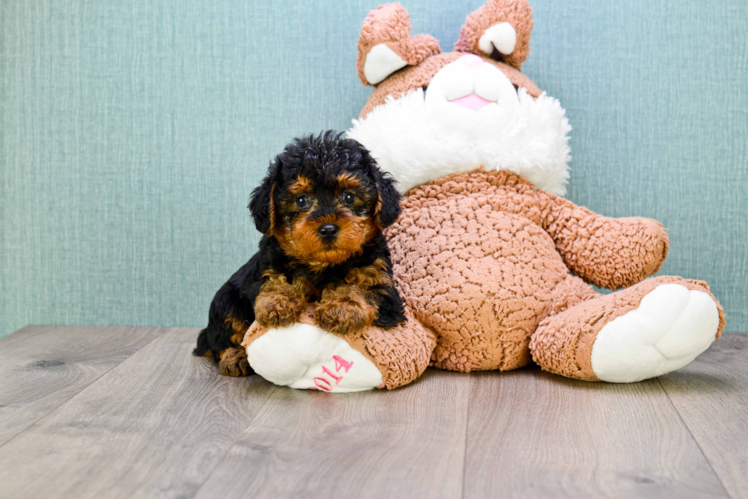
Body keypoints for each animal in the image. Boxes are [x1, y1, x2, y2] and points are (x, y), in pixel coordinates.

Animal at [191, 131, 404, 376]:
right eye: (301, 200)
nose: (328, 229)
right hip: (224, 300)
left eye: (349, 197)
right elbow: (273, 281)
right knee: (222, 338)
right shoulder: (266, 266)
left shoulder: (383, 286)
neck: (324, 264)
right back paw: (236, 357)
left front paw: (341, 307)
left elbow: (362, 289)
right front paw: (277, 302)